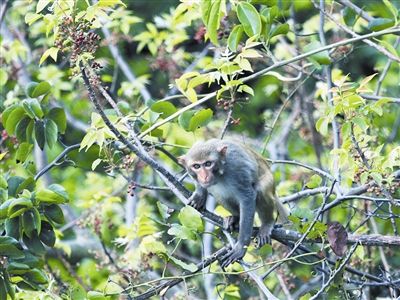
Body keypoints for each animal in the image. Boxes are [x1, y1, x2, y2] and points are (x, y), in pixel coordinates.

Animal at [178, 138, 288, 268]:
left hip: (269, 182)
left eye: (208, 164)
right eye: (196, 166)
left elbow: (247, 197)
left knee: (260, 190)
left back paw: (267, 223)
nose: (204, 176)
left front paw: (240, 247)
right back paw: (235, 217)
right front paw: (199, 195)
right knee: (221, 194)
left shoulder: (237, 170)